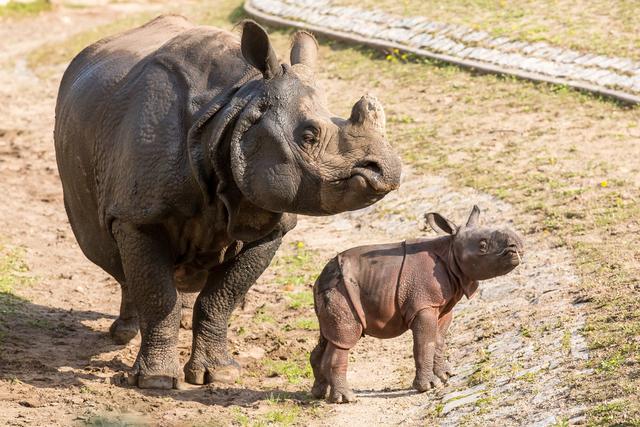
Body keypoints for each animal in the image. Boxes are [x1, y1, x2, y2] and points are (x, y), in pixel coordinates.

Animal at [54, 15, 401, 389]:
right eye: (308, 136)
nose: (386, 170)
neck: (237, 108)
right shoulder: (139, 214)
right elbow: (158, 295)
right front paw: (155, 381)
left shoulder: (268, 222)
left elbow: (220, 299)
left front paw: (218, 374)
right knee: (114, 250)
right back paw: (124, 335)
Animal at [311, 206, 523, 402]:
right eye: (482, 245)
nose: (517, 245)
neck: (449, 251)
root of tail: (319, 279)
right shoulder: (424, 304)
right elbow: (424, 343)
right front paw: (428, 386)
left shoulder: (441, 306)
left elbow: (438, 339)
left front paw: (446, 375)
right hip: (342, 289)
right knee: (345, 340)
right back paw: (346, 398)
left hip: (333, 289)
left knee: (328, 336)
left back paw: (319, 394)